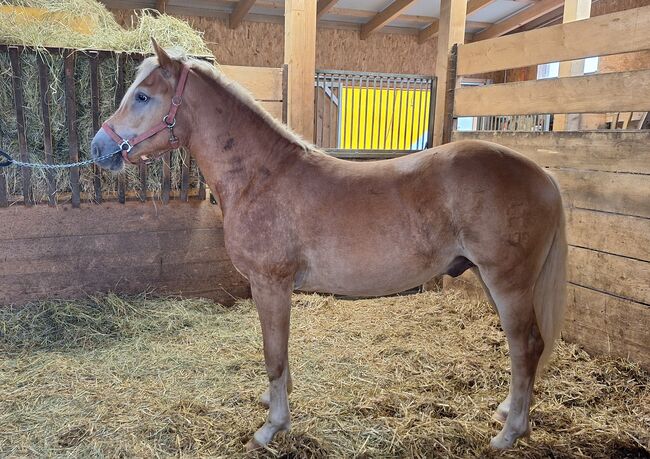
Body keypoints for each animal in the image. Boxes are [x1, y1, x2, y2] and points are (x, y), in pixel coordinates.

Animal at [88, 40, 564, 452]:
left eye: (143, 96)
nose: (99, 148)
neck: (262, 177)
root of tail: (542, 175)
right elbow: (279, 352)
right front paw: (274, 402)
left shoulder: (270, 283)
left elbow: (273, 355)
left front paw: (271, 428)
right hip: (487, 277)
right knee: (522, 346)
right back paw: (506, 411)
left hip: (508, 282)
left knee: (526, 346)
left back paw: (510, 433)